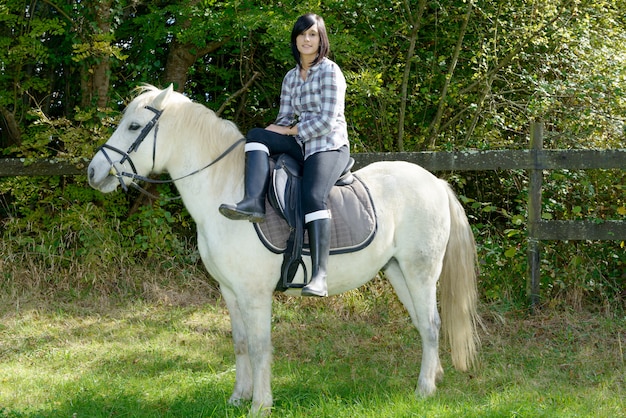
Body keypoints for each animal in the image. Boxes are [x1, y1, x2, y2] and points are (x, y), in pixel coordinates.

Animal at [88, 85, 478, 414]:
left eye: (134, 126)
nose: (93, 171)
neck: (227, 193)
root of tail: (436, 182)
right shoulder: (230, 291)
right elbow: (240, 342)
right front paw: (237, 398)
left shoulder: (254, 293)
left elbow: (260, 346)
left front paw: (260, 405)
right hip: (398, 271)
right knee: (423, 324)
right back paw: (434, 376)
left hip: (420, 271)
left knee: (431, 324)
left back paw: (424, 389)